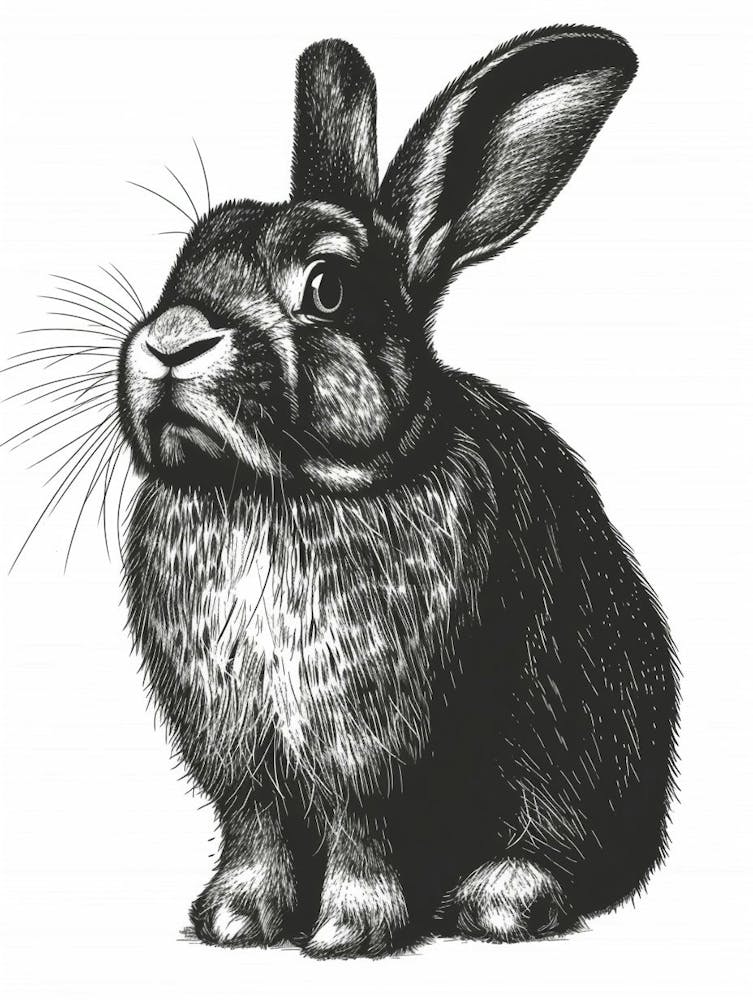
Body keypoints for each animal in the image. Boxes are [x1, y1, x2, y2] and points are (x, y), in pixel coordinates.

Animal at [117, 26, 679, 957]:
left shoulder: (372, 743)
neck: (277, 492)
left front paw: (348, 932)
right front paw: (234, 920)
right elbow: (255, 826)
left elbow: (360, 824)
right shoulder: (237, 751)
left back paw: (500, 899)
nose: (172, 340)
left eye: (327, 289)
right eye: (186, 256)